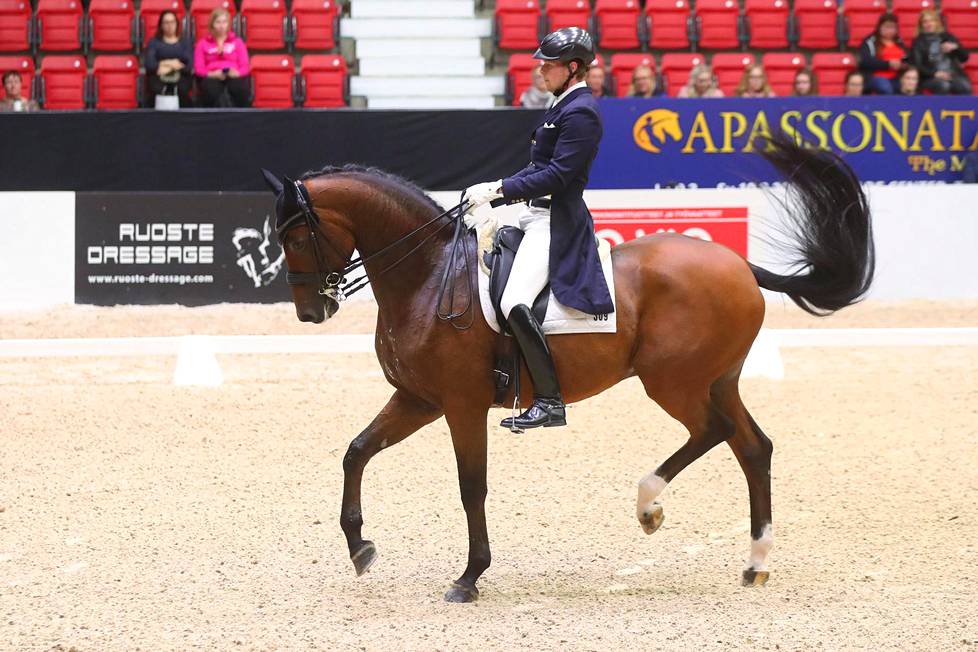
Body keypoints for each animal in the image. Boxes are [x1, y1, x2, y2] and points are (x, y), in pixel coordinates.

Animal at [260, 135, 868, 604]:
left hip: (674, 382)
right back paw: (754, 560)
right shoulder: (418, 400)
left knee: (714, 432)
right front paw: (360, 548)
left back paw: (650, 505)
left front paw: (469, 577)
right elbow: (357, 451)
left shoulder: (460, 404)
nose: (311, 312)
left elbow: (471, 485)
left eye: (296, 236)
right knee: (752, 447)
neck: (428, 278)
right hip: (716, 380)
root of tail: (739, 264)